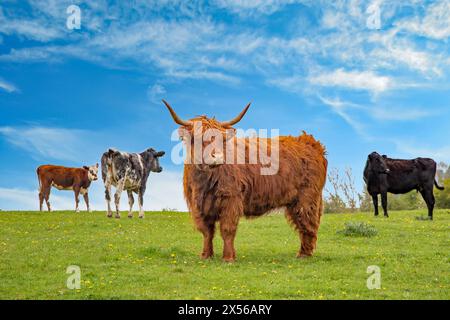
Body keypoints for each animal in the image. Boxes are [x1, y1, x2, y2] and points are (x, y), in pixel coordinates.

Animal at [162, 100, 326, 262]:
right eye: (198, 138)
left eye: (222, 140)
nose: (218, 157)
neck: (204, 180)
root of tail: (310, 142)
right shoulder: (199, 205)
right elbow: (207, 231)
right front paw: (206, 255)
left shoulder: (231, 199)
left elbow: (227, 229)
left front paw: (228, 258)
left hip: (307, 198)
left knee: (308, 223)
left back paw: (304, 254)